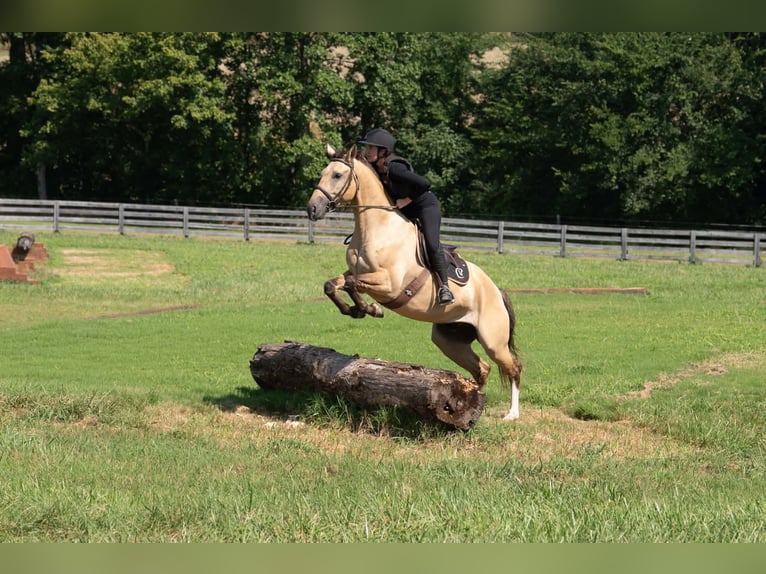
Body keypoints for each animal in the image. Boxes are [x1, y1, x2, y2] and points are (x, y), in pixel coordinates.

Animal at [307, 144, 522, 420]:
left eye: (337, 175)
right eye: (323, 173)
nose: (312, 209)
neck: (375, 228)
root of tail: (497, 291)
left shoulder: (389, 285)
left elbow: (354, 283)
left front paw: (369, 309)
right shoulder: (354, 272)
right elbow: (334, 284)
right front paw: (358, 310)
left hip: (493, 341)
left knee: (514, 367)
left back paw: (512, 414)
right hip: (449, 340)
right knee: (481, 368)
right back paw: (472, 402)